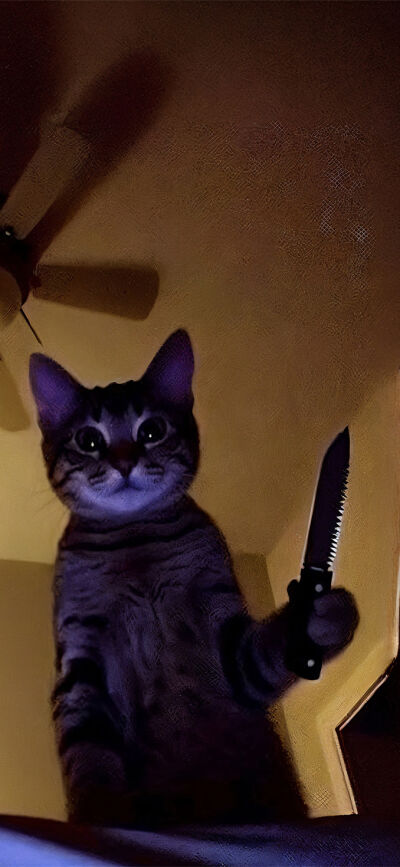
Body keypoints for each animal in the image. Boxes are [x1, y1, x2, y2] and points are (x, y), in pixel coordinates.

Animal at [29, 330, 359, 827]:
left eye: (151, 431)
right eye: (88, 439)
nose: (124, 462)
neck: (135, 540)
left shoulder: (227, 631)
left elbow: (267, 648)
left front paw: (321, 617)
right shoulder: (79, 657)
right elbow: (86, 752)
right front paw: (99, 814)